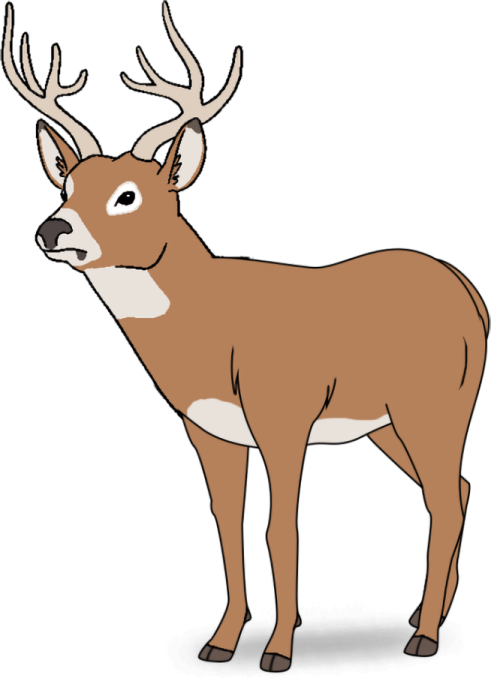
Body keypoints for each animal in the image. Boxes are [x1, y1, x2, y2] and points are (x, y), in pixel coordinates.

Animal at [5, 2, 487, 669]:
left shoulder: (284, 418)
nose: (53, 230)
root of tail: (469, 293)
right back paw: (425, 613)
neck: (214, 322)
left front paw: (278, 649)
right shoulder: (208, 428)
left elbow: (280, 527)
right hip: (387, 423)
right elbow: (226, 526)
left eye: (128, 195)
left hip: (434, 405)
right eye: (68, 185)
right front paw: (221, 641)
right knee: (456, 489)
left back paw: (426, 637)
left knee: (444, 498)